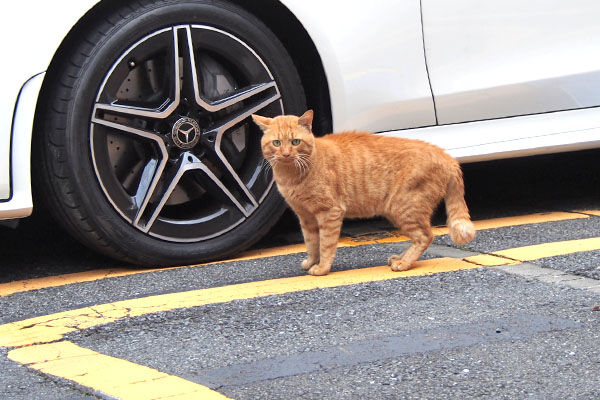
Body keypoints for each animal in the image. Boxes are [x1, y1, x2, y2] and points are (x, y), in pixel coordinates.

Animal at [251, 111, 476, 276]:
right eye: (277, 143)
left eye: (295, 142)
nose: (286, 154)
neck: (291, 176)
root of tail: (446, 155)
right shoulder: (306, 217)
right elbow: (311, 243)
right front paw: (312, 261)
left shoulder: (329, 213)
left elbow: (326, 244)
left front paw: (322, 268)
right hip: (398, 212)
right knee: (420, 237)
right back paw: (400, 258)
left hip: (404, 208)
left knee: (425, 236)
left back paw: (404, 263)